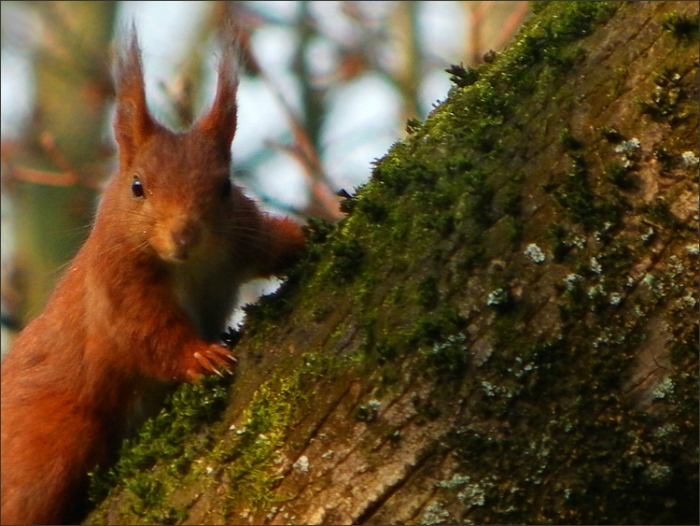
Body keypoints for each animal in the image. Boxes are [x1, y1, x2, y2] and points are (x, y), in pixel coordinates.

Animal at [1, 24, 305, 525]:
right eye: (137, 187)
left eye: (225, 185)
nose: (184, 235)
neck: (192, 266)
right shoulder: (116, 282)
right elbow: (146, 332)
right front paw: (201, 357)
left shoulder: (243, 237)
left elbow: (274, 245)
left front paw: (314, 234)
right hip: (53, 440)